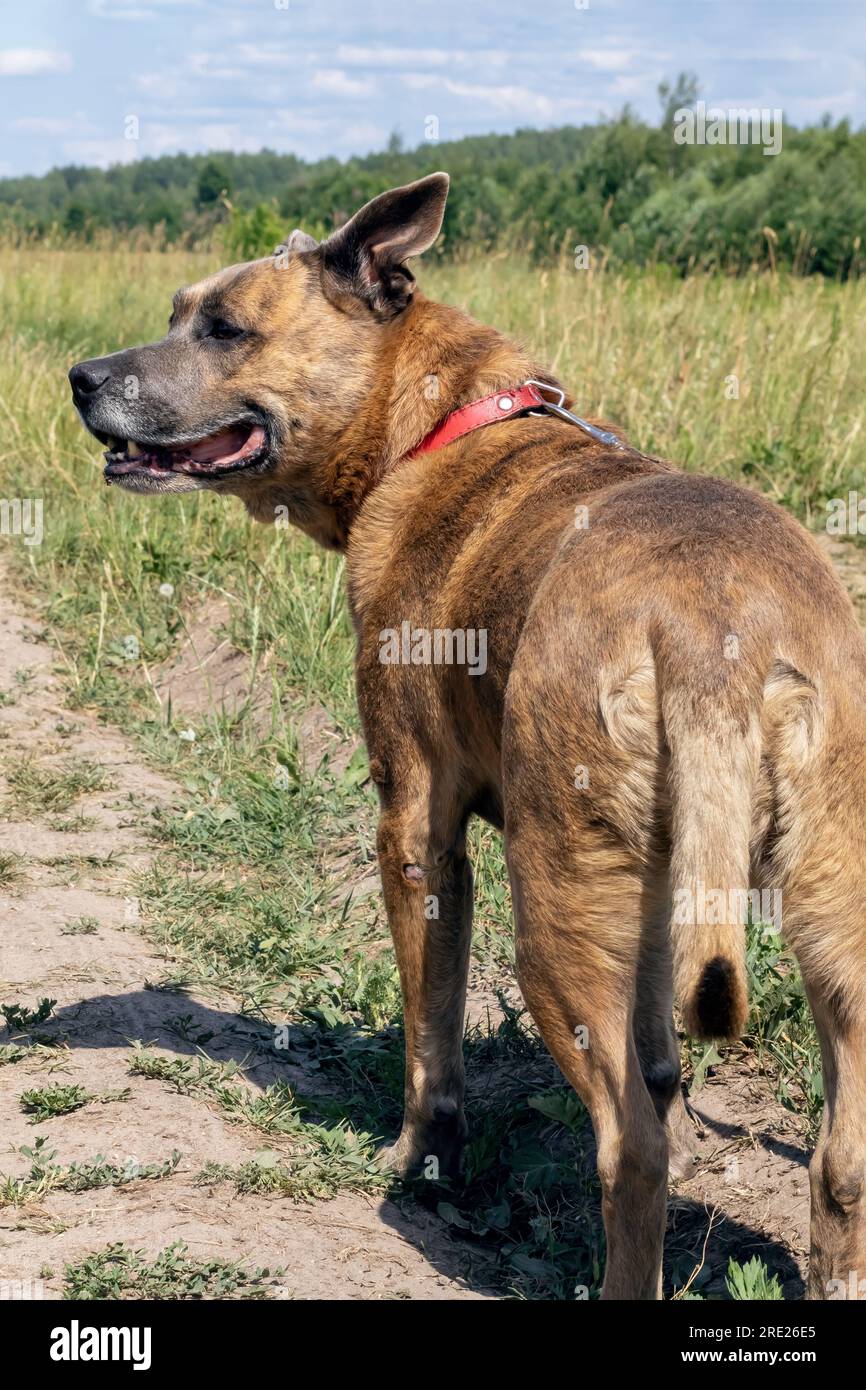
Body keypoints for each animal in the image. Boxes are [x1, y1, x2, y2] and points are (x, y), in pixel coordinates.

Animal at [69, 176, 866, 1301]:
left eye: (223, 327)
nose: (82, 376)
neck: (432, 422)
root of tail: (713, 636)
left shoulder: (416, 828)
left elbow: (429, 1037)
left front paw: (418, 1159)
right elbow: (657, 1052)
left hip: (554, 915)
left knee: (630, 1153)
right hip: (836, 920)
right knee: (835, 1162)